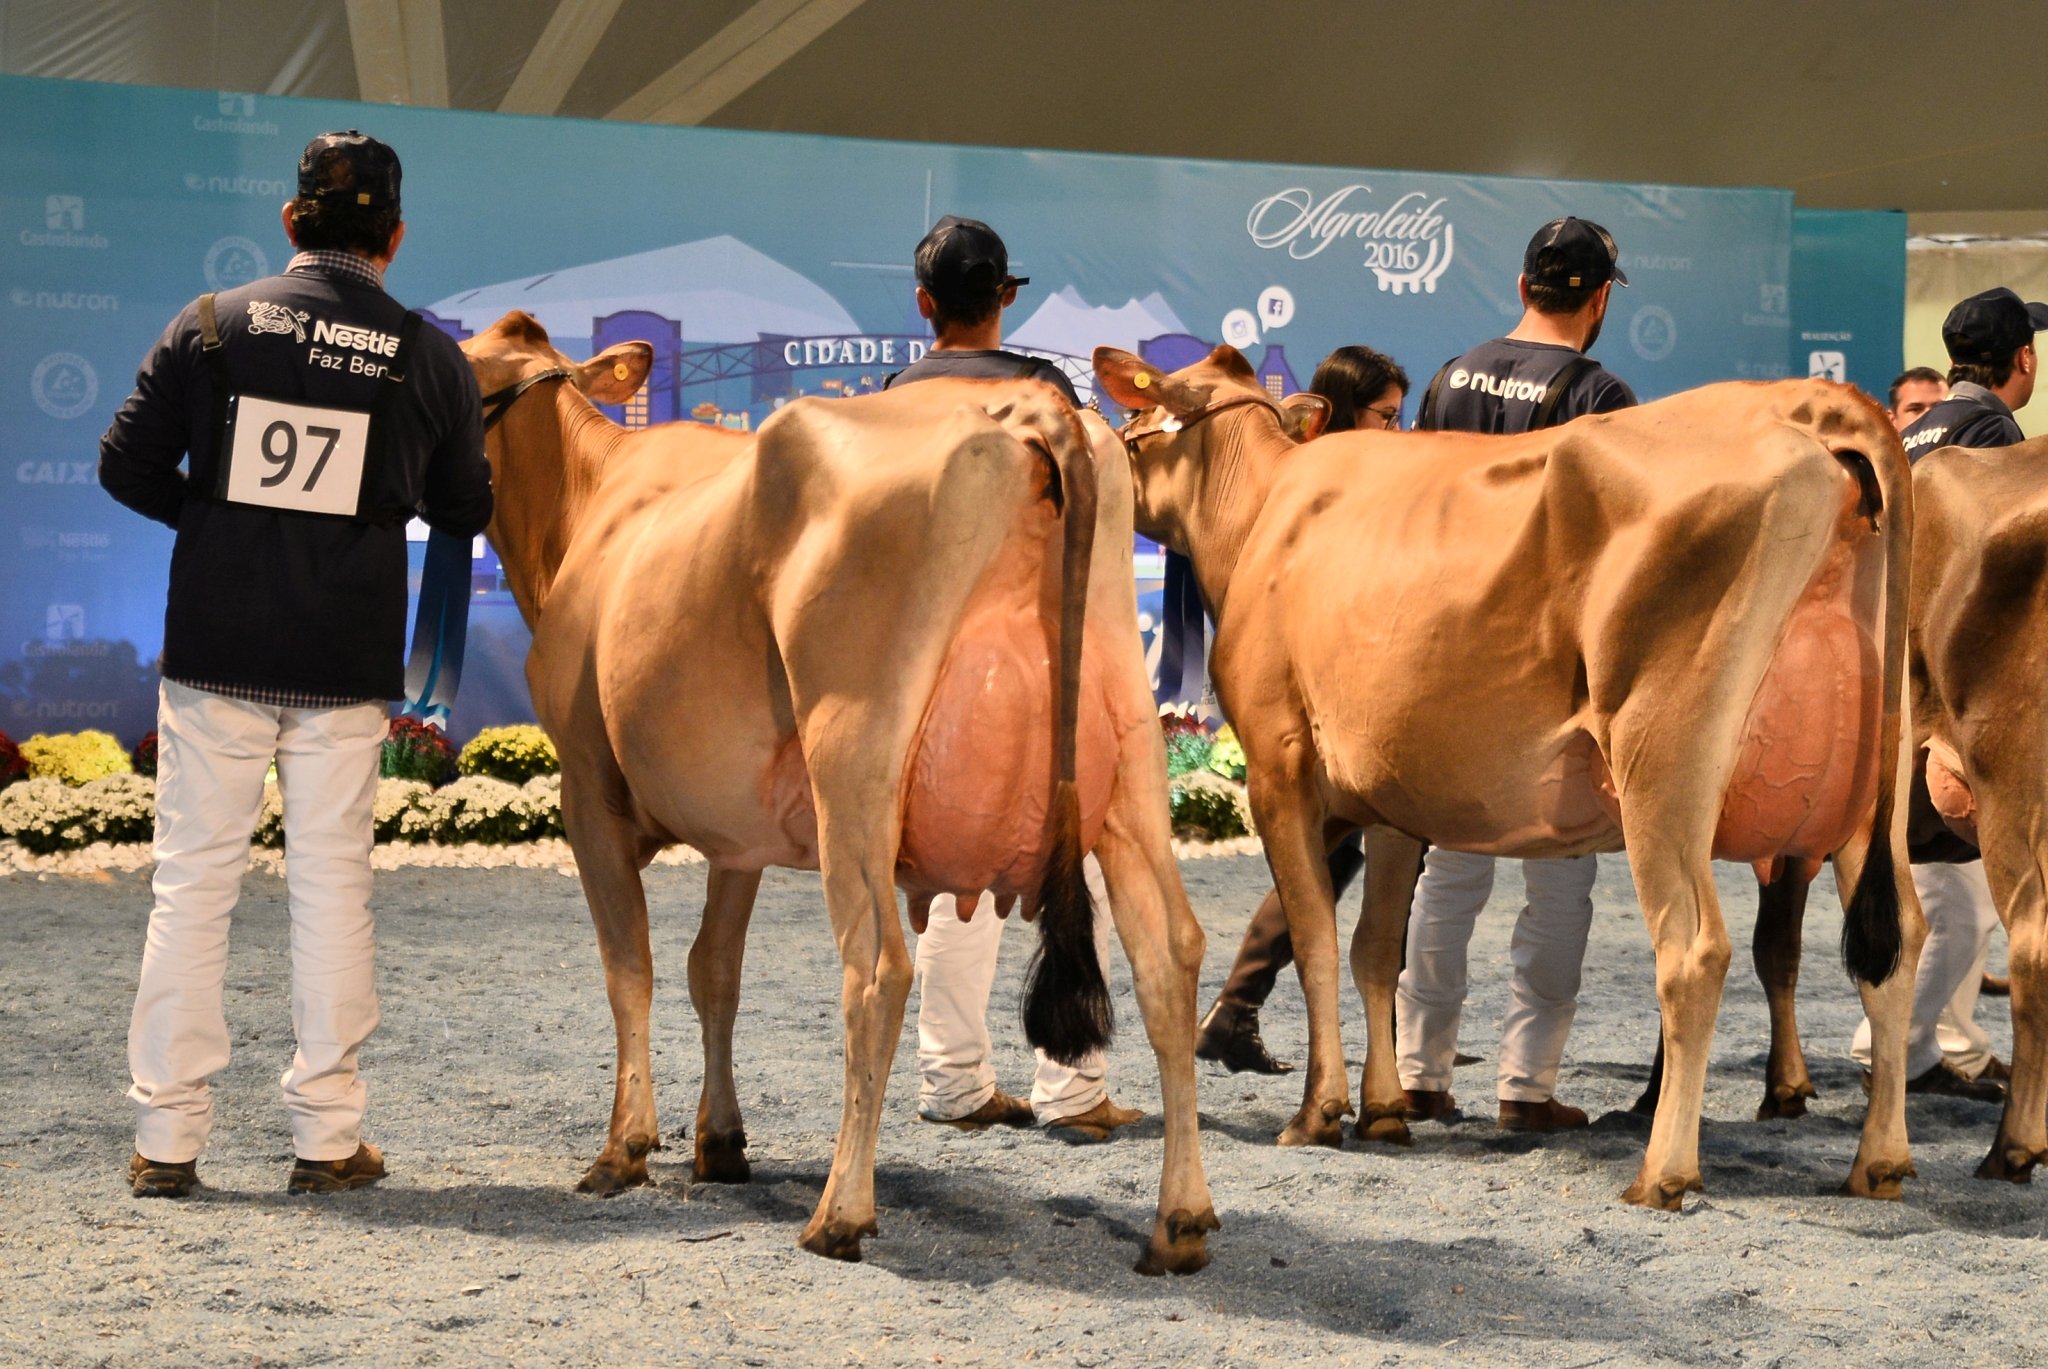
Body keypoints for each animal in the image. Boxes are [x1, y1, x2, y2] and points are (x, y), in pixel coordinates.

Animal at [464, 309, 1212, 1270]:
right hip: (1131, 752)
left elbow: (629, 966)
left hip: (853, 755)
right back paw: (1180, 1220)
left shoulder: (586, 787)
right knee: (1169, 953)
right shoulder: (734, 829)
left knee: (879, 966)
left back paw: (840, 1210)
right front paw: (720, 1140)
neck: (588, 509)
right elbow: (714, 970)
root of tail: (1023, 408)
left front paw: (624, 1147)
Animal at [1097, 342, 1925, 1205]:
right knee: (1898, 941)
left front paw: (1318, 1109)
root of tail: (1803, 402)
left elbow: (1315, 934)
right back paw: (1879, 1159)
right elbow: (1375, 949)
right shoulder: (1391, 797)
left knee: (1694, 949)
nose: (1109, 445)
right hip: (1875, 787)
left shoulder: (1276, 759)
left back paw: (1662, 1170)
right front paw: (1385, 1108)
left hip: (1662, 756)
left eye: (1135, 412)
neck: (1264, 515)